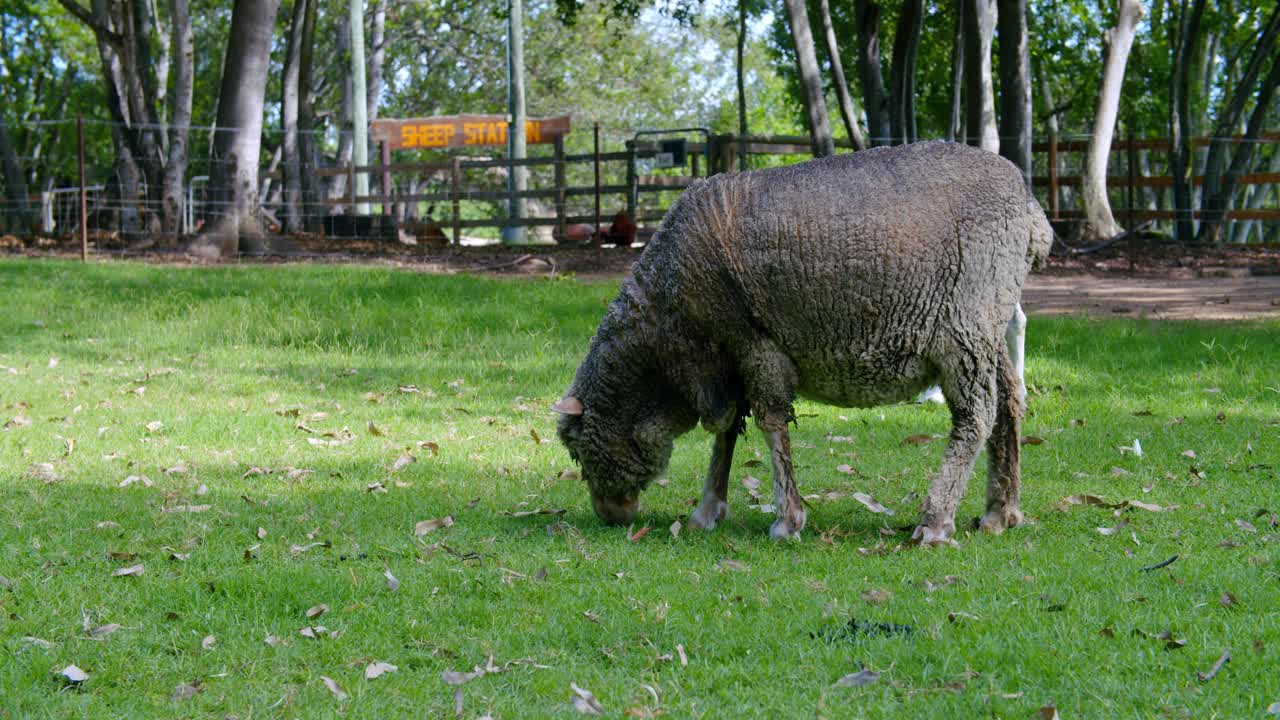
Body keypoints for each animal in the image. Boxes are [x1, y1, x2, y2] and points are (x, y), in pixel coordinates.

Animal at [554, 142, 1053, 544]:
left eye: (577, 451)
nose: (608, 515)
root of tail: (1032, 212)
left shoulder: (753, 343)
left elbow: (770, 424)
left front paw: (787, 520)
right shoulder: (732, 362)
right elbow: (727, 432)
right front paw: (707, 510)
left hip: (965, 325)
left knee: (977, 414)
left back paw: (936, 520)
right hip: (990, 327)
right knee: (1010, 401)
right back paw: (1000, 512)